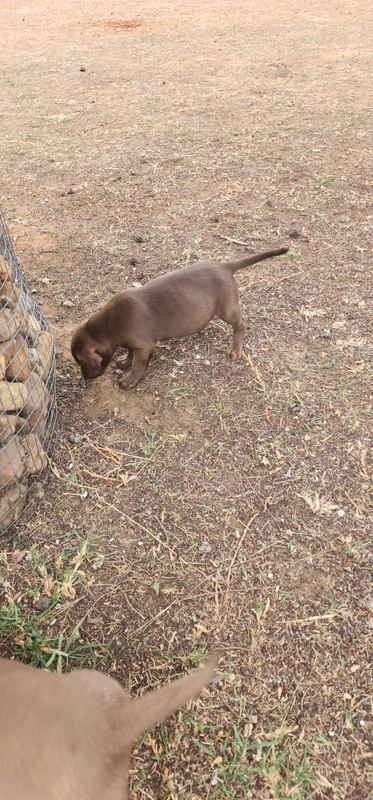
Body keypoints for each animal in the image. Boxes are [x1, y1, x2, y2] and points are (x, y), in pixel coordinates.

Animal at [72, 247, 288, 390]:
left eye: (81, 363)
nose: (85, 378)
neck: (107, 325)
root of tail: (224, 266)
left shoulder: (145, 346)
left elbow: (138, 366)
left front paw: (129, 380)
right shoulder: (134, 344)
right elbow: (130, 355)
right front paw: (124, 362)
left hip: (227, 309)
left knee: (241, 325)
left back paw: (234, 350)